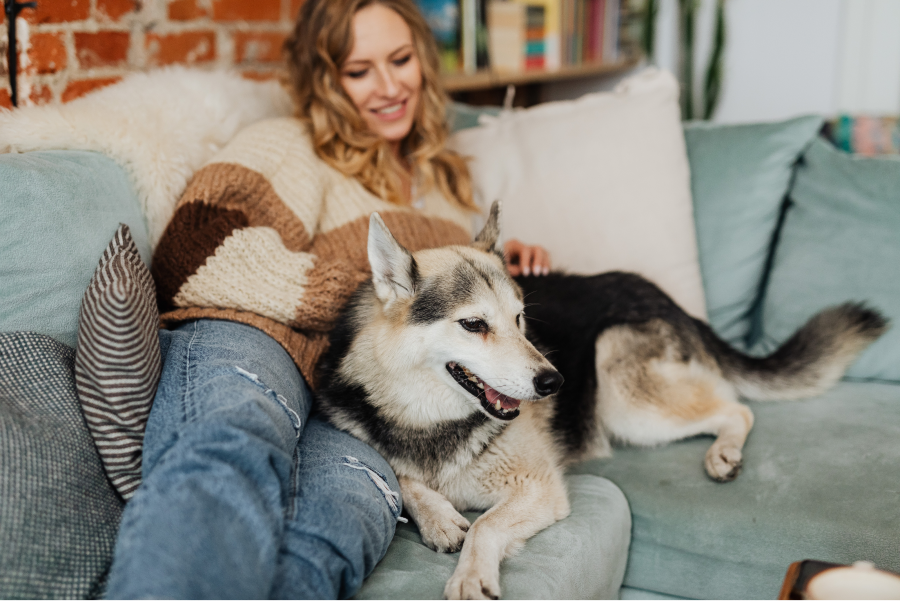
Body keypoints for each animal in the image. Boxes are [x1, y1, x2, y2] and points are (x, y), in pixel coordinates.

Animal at [314, 203, 884, 600]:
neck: (429, 419)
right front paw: (436, 516)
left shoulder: (538, 488)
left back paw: (723, 451)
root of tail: (673, 302)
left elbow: (486, 526)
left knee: (735, 408)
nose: (554, 382)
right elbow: (401, 474)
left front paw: (470, 576)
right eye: (473, 324)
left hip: (624, 395)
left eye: (520, 319)